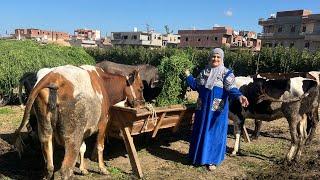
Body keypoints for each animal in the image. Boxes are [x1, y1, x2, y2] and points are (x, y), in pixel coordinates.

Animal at [14, 64, 144, 180]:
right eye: (141, 87)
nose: (142, 103)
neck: (104, 84)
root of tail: (53, 76)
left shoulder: (83, 129)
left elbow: (83, 148)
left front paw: (83, 169)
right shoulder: (103, 122)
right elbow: (100, 146)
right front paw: (102, 169)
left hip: (46, 130)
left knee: (49, 166)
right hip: (72, 135)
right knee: (65, 169)